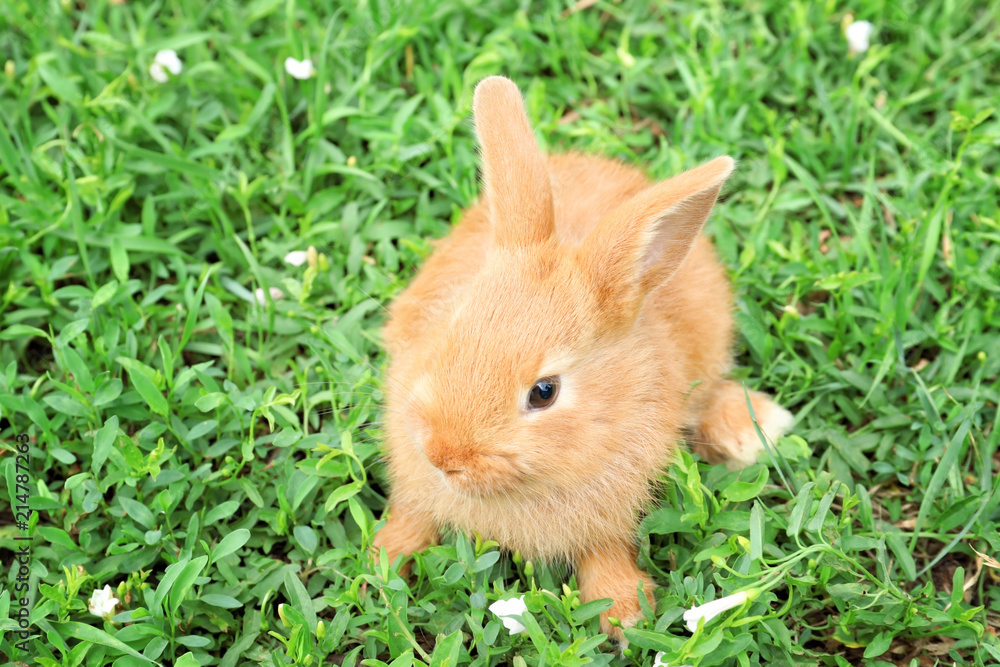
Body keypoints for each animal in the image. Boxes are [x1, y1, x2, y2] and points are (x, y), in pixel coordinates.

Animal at [372, 74, 792, 640]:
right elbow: (413, 517)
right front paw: (382, 561)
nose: (443, 455)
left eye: (544, 392)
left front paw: (624, 612)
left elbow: (605, 551)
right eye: (450, 331)